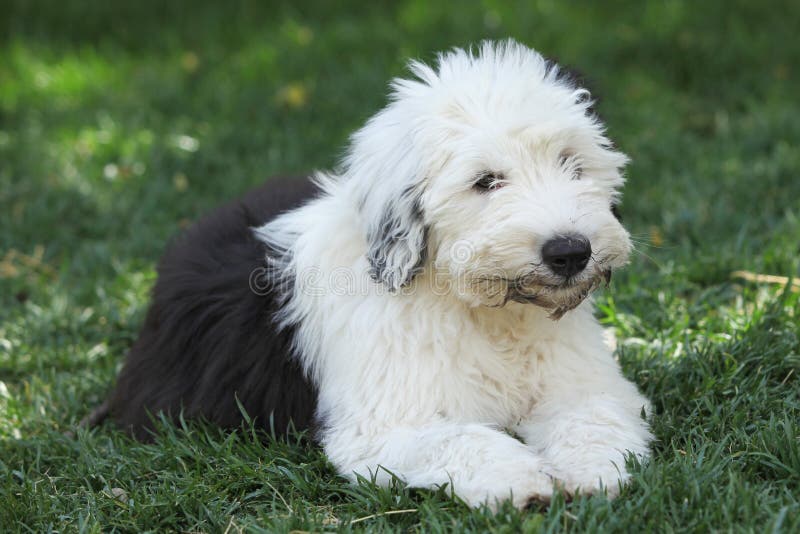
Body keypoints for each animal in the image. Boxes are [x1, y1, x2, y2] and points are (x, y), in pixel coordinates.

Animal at [101, 40, 648, 510]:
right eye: (486, 181)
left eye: (572, 163)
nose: (570, 252)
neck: (484, 311)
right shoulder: (383, 425)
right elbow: (461, 437)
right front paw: (520, 480)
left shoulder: (581, 382)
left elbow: (593, 416)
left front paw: (591, 472)